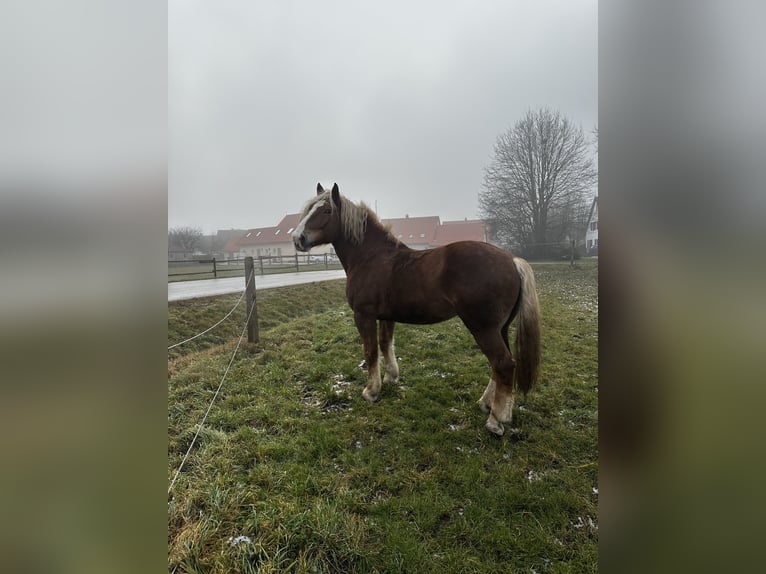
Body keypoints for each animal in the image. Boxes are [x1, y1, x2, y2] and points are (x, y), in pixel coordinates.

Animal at [292, 183, 544, 436]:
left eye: (326, 211)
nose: (297, 238)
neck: (371, 257)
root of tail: (512, 260)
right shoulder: (387, 316)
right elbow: (385, 344)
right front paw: (391, 377)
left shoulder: (363, 315)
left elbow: (371, 351)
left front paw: (371, 391)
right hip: (500, 328)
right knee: (502, 364)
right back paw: (487, 404)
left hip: (483, 328)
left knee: (503, 364)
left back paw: (496, 420)